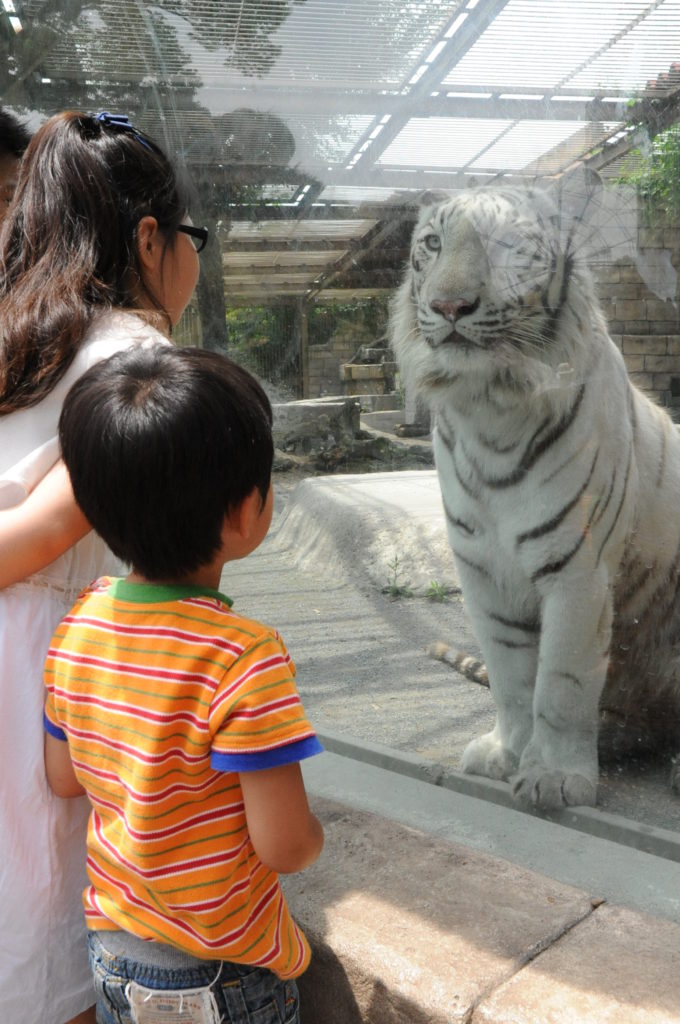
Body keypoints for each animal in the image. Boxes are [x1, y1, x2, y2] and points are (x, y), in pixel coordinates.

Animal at [391, 180, 680, 811]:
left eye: (504, 245)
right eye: (432, 244)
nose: (450, 306)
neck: (489, 408)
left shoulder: (577, 569)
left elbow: (561, 682)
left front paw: (553, 775)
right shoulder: (483, 574)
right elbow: (512, 677)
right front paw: (507, 754)